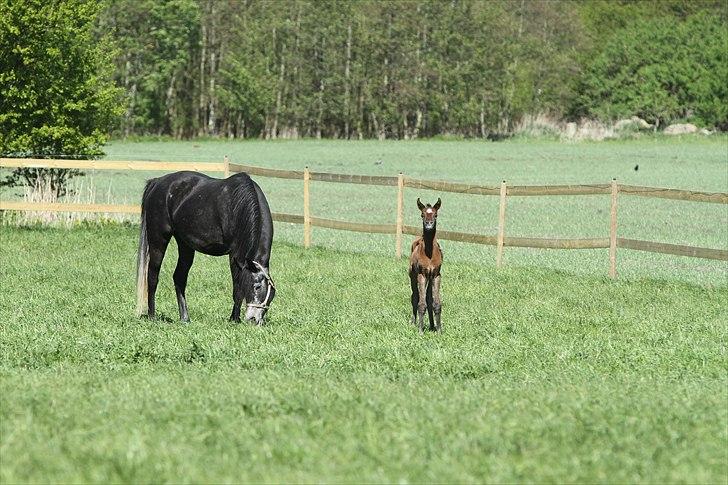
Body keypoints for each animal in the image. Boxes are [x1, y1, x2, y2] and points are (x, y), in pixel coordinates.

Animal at [134, 170, 276, 326]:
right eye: (256, 286)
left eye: (272, 295)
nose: (254, 319)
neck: (240, 205)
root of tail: (157, 182)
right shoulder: (235, 255)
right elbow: (237, 288)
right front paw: (234, 319)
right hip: (158, 239)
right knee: (152, 276)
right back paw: (152, 316)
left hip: (185, 244)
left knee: (179, 277)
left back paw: (185, 318)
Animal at [410, 198, 444, 332]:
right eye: (422, 214)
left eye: (436, 215)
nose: (429, 224)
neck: (429, 253)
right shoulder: (422, 275)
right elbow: (421, 303)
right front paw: (420, 330)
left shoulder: (436, 275)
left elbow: (436, 303)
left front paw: (439, 330)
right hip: (413, 276)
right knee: (415, 296)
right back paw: (414, 322)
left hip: (430, 278)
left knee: (429, 299)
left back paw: (432, 325)